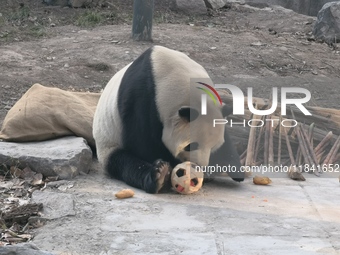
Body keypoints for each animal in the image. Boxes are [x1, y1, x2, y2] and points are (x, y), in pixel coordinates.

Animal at [91, 45, 243, 193]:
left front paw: (233, 169)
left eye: (214, 146)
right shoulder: (141, 101)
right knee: (125, 164)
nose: (199, 166)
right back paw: (158, 176)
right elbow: (144, 144)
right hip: (108, 144)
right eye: (190, 146)